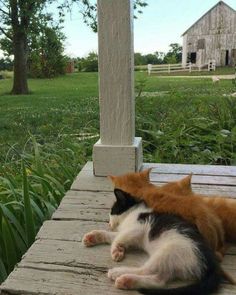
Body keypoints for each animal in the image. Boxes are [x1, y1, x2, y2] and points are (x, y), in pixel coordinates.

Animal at [82, 188, 221, 294]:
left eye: (112, 211)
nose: (109, 224)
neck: (135, 212)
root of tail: (211, 264)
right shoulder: (130, 232)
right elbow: (113, 235)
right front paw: (93, 237)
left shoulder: (138, 228)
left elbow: (118, 237)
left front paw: (116, 250)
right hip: (173, 262)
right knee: (159, 280)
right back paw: (128, 281)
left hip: (169, 251)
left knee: (146, 270)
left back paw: (118, 273)